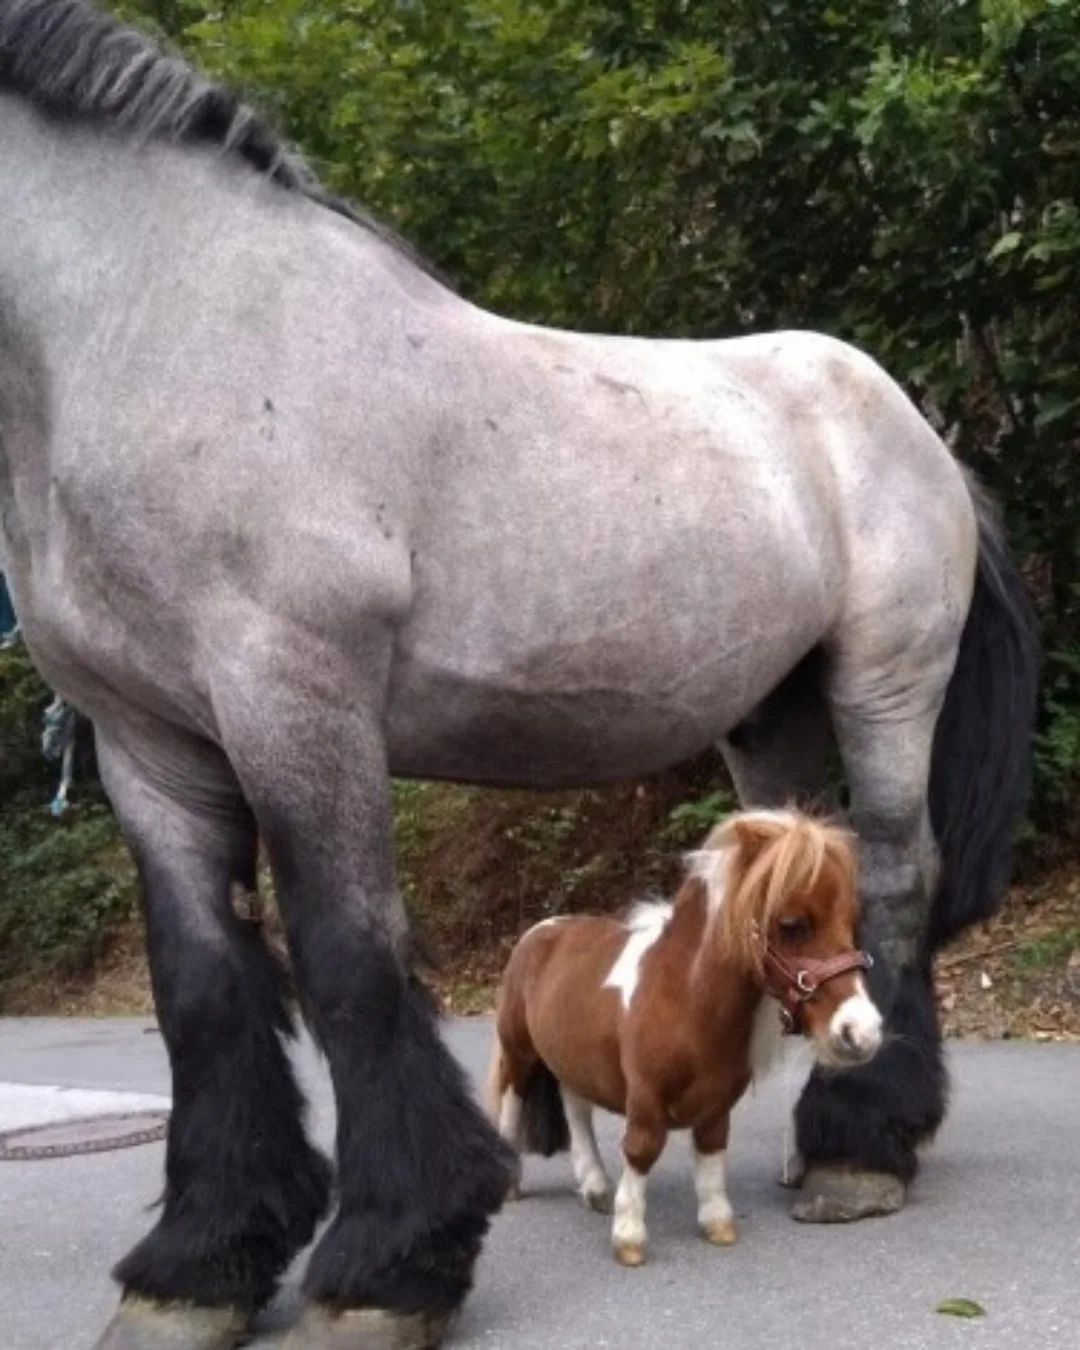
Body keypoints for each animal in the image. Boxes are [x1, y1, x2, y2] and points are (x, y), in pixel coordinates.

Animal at [489, 808, 881, 1266]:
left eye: (852, 923)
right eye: (792, 925)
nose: (862, 1032)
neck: (685, 1000)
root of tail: (540, 931)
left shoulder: (717, 1103)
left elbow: (711, 1150)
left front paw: (717, 1223)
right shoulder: (645, 1097)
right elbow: (641, 1148)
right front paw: (629, 1236)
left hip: (571, 1058)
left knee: (577, 1111)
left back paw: (596, 1187)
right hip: (519, 1052)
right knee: (512, 1103)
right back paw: (511, 1185)